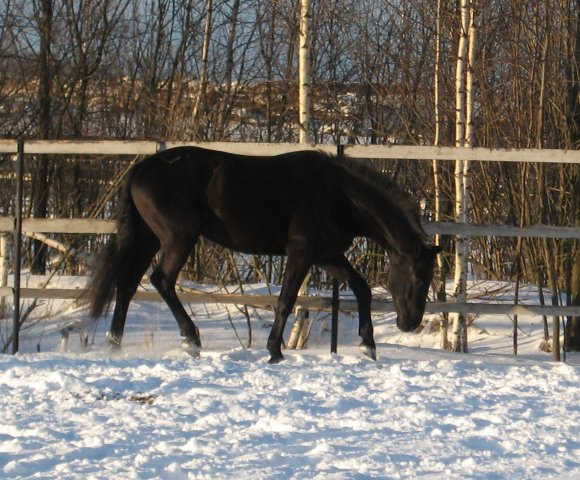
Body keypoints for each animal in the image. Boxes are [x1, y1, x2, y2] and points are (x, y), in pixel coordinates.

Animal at [87, 144, 440, 362]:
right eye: (417, 276)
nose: (410, 322)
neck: (339, 195)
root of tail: (140, 168)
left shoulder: (327, 256)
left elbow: (362, 289)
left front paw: (368, 347)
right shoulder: (301, 253)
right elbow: (285, 300)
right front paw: (274, 351)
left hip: (149, 238)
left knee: (127, 284)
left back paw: (114, 344)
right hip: (178, 238)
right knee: (161, 280)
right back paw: (191, 339)